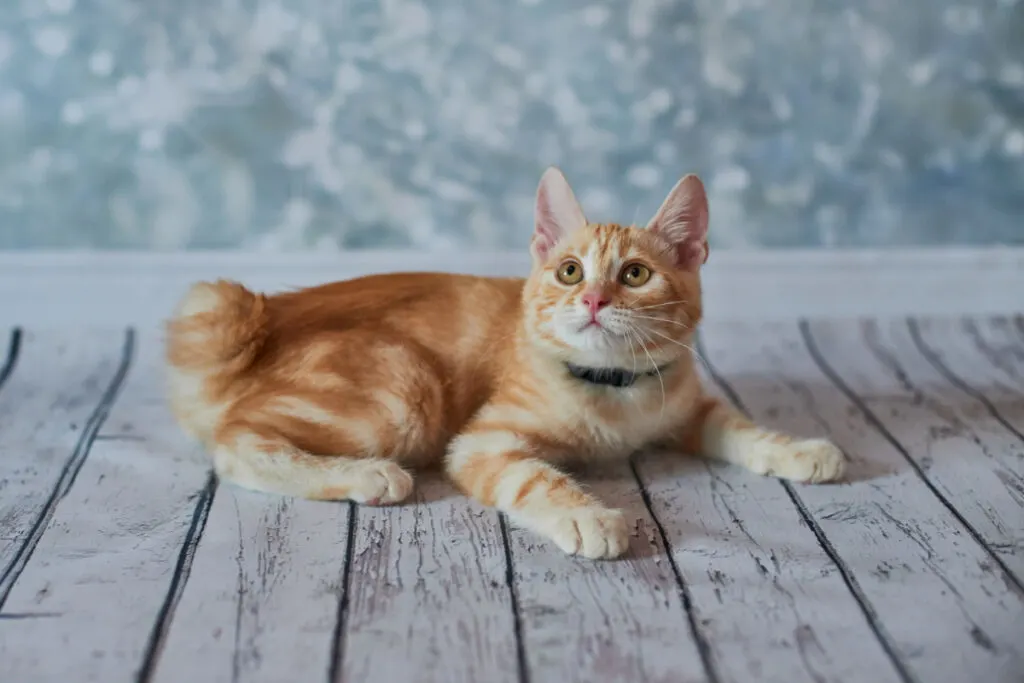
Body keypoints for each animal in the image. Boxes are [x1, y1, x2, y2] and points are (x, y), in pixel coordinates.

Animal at [163, 167, 843, 557]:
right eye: (569, 272)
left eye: (635, 274)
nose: (593, 299)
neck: (617, 390)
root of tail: (267, 320)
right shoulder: (482, 441)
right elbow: (535, 477)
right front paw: (588, 516)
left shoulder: (687, 402)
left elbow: (741, 427)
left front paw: (799, 449)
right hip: (402, 391)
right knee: (235, 444)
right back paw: (367, 475)